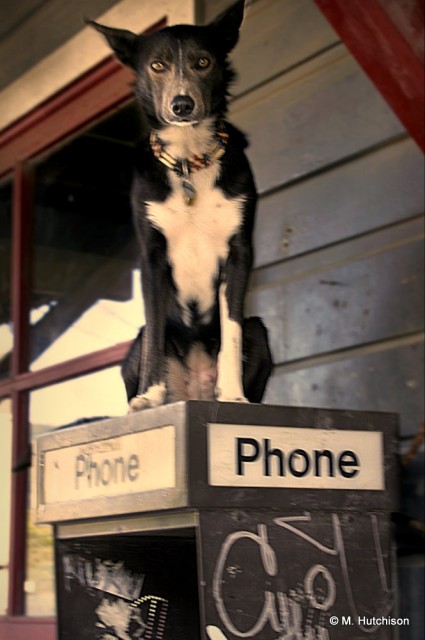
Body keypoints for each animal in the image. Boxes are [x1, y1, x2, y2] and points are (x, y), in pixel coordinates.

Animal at [90, 0, 272, 410]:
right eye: (157, 66)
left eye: (203, 61)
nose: (182, 105)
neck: (190, 159)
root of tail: (194, 390)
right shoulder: (152, 257)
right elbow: (156, 331)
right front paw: (150, 394)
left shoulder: (239, 252)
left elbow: (232, 332)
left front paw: (233, 395)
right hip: (134, 344)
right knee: (147, 341)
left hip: (260, 331)